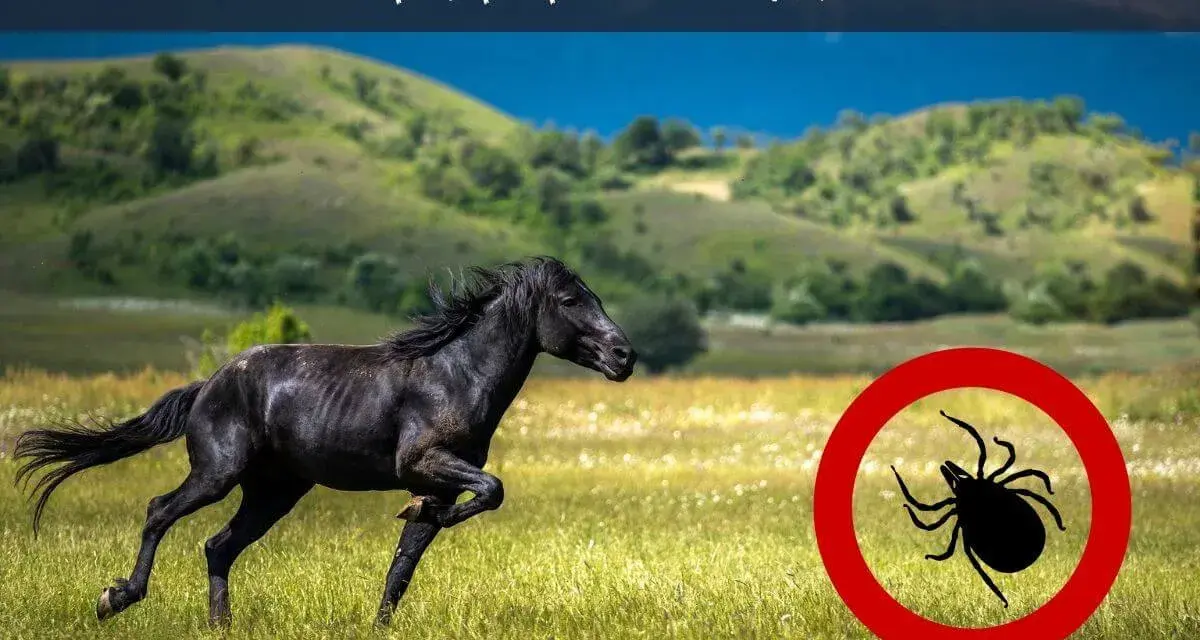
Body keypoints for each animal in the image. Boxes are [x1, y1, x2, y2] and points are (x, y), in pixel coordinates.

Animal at [13, 256, 637, 628]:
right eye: (570, 301)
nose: (625, 356)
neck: (454, 375)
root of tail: (208, 384)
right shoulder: (425, 462)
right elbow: (492, 490)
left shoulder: (437, 481)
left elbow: (407, 560)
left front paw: (385, 613)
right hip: (217, 473)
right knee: (159, 511)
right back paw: (116, 597)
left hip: (274, 492)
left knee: (218, 545)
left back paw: (221, 627)